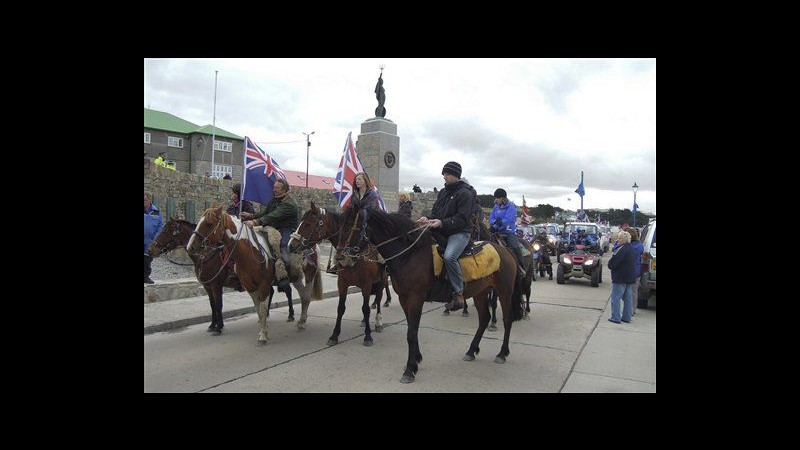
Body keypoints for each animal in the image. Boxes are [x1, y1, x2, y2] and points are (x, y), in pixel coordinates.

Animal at [148, 218, 296, 334]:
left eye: (165, 231)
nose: (150, 250)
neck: (206, 255)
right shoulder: (208, 287)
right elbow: (212, 305)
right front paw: (212, 325)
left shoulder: (216, 285)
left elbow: (219, 305)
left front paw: (219, 327)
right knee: (270, 293)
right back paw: (265, 316)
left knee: (288, 291)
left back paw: (290, 315)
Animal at [188, 206, 322, 346]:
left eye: (208, 224)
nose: (190, 246)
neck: (249, 252)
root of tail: (314, 246)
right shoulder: (249, 287)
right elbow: (258, 310)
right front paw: (263, 331)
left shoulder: (263, 285)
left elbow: (262, 309)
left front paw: (263, 336)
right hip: (296, 278)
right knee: (302, 295)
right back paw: (300, 321)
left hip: (309, 275)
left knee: (306, 297)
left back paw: (301, 323)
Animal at [290, 204, 390, 348]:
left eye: (308, 223)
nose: (290, 245)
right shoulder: (342, 283)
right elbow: (341, 308)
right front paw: (334, 335)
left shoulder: (366, 284)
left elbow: (365, 308)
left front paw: (368, 336)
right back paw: (364, 321)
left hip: (382, 280)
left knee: (379, 296)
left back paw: (378, 322)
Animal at [342, 204, 524, 384]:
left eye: (352, 225)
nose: (343, 256)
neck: (409, 254)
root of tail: (506, 251)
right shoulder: (403, 299)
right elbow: (412, 330)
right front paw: (416, 359)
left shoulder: (415, 298)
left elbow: (411, 333)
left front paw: (410, 369)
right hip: (480, 292)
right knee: (484, 318)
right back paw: (471, 350)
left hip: (504, 291)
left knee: (507, 319)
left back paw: (502, 353)